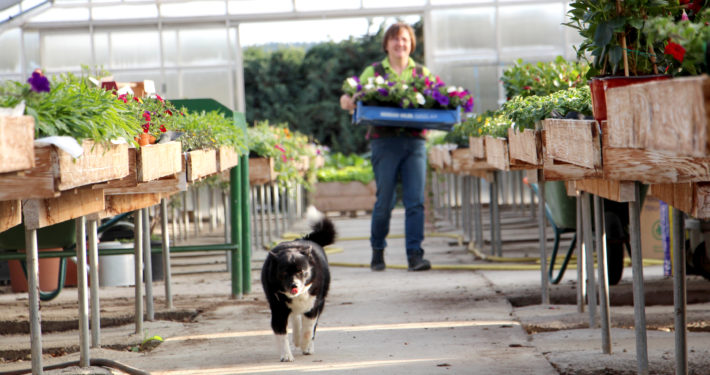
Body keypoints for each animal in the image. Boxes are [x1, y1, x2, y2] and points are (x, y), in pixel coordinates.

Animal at [262, 207, 338, 362]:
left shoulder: (313, 307)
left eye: (301, 271)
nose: (294, 285)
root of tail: (307, 239)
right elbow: (281, 333)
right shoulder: (278, 310)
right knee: (295, 318)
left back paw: (306, 345)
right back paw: (296, 339)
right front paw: (286, 355)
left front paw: (305, 345)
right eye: (284, 273)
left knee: (309, 326)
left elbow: (308, 330)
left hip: (320, 303)